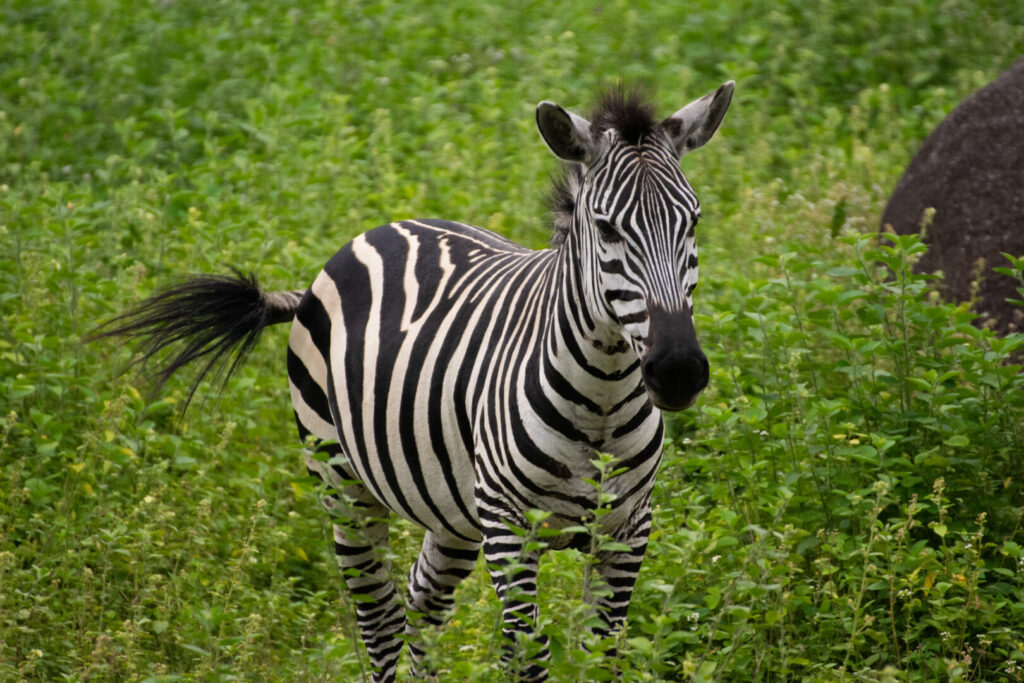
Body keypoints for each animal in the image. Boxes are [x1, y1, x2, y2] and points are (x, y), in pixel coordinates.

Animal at [94, 82, 737, 679]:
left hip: (451, 508)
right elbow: (527, 655)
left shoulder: (628, 527)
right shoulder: (509, 527)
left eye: (694, 220)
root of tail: (388, 226)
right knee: (379, 617)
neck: (602, 397)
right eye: (606, 229)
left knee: (422, 599)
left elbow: (603, 656)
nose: (678, 370)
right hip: (342, 484)